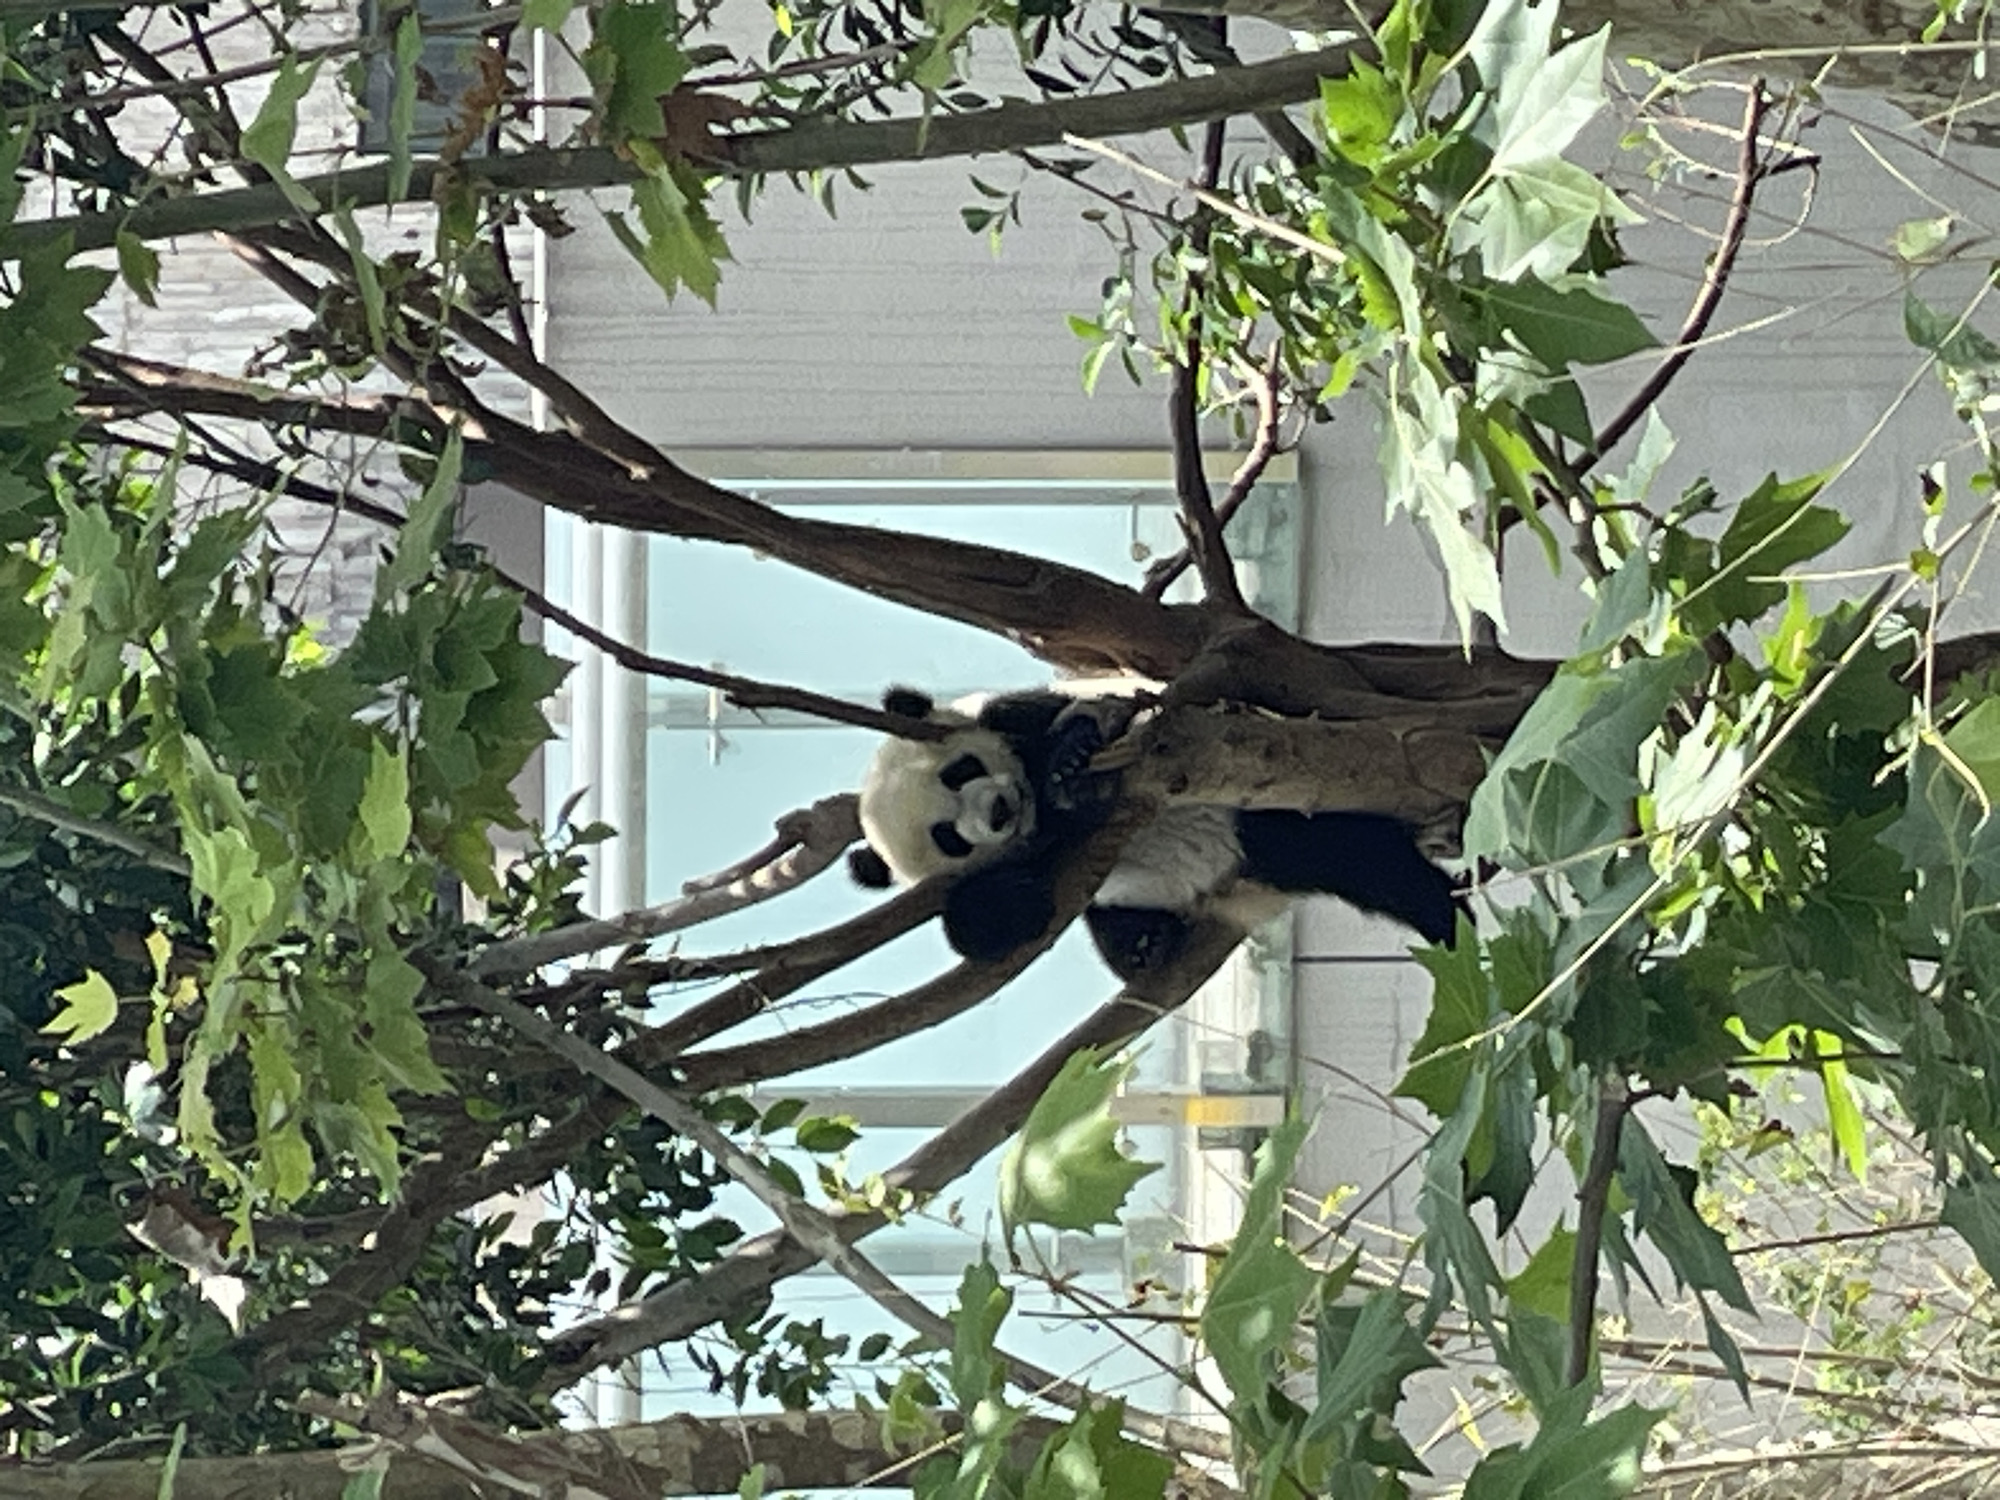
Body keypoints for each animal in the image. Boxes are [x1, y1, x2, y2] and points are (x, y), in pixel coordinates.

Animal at [846, 685, 1462, 980]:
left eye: (961, 770)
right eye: (950, 837)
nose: (998, 811)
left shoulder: (1012, 714)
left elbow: (1088, 715)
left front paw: (1070, 761)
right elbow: (978, 925)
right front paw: (1013, 896)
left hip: (1275, 805)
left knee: (1382, 868)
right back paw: (1145, 943)